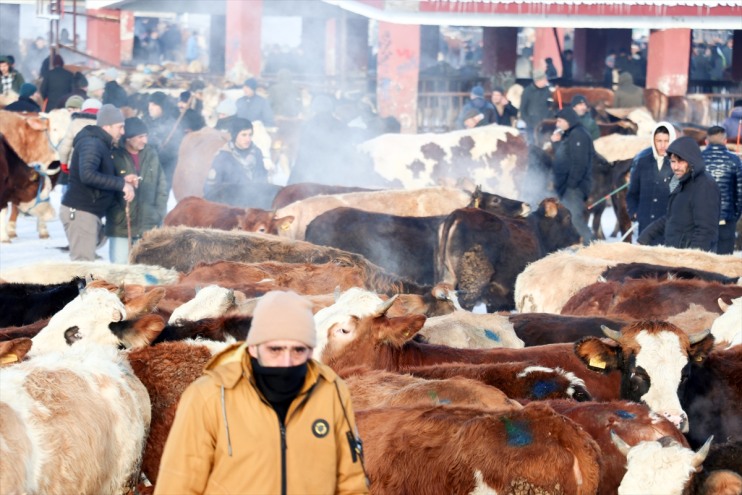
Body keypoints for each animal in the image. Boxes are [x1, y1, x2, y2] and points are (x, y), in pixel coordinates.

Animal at [434, 197, 584, 310]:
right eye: (568, 217)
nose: (580, 238)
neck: (538, 232)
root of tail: (459, 213)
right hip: (472, 284)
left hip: (447, 279)